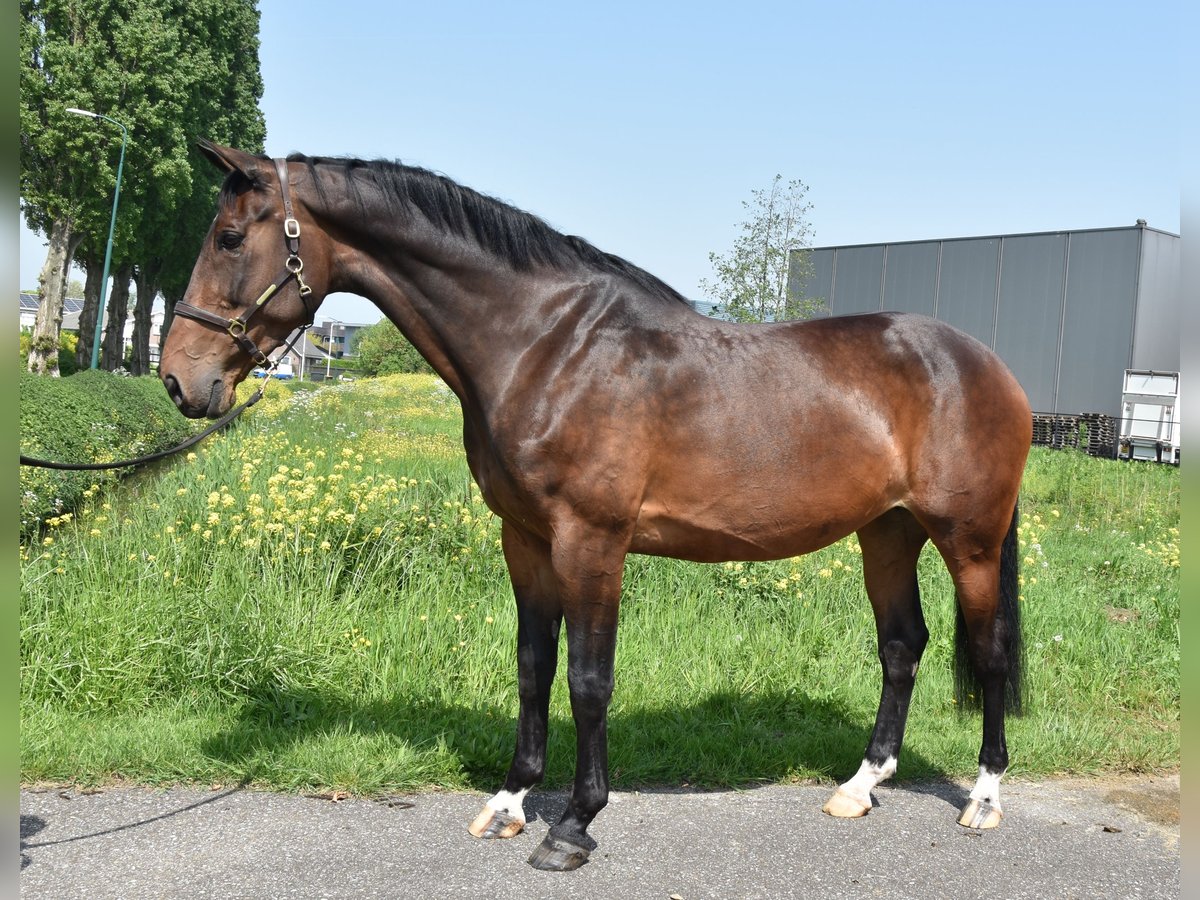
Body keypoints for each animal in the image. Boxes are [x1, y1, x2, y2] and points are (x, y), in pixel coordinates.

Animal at [162, 142, 1032, 873]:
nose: (179, 378)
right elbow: (532, 666)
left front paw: (574, 825)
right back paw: (860, 785)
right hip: (886, 533)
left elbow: (588, 679)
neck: (547, 346)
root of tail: (985, 364)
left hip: (968, 539)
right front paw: (510, 800)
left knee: (988, 653)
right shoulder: (525, 540)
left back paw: (985, 797)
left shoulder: (592, 541)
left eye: (231, 239)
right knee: (902, 645)